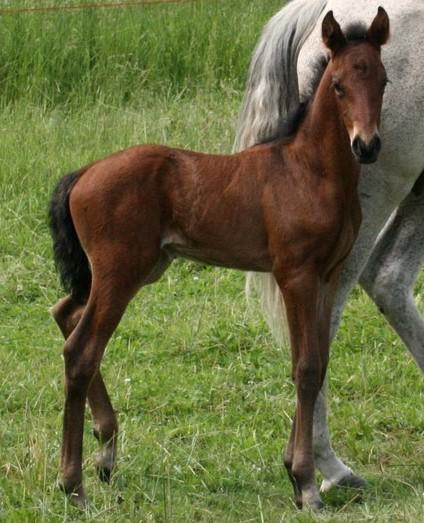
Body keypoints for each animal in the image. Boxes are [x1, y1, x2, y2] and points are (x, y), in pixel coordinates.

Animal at [48, 9, 388, 512]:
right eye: (340, 85)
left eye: (383, 80)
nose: (367, 145)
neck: (310, 171)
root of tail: (84, 173)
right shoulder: (295, 274)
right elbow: (305, 367)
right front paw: (305, 483)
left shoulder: (327, 277)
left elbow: (318, 362)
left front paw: (293, 470)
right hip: (119, 272)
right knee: (81, 350)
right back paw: (74, 482)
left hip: (130, 271)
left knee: (64, 312)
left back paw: (106, 448)